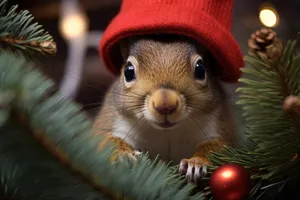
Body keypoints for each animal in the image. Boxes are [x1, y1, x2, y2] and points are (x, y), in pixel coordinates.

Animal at [92, 34, 238, 184]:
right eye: (128, 71)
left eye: (200, 69)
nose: (165, 104)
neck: (166, 132)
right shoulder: (115, 122)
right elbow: (104, 141)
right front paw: (123, 155)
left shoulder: (219, 126)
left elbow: (219, 147)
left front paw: (196, 163)